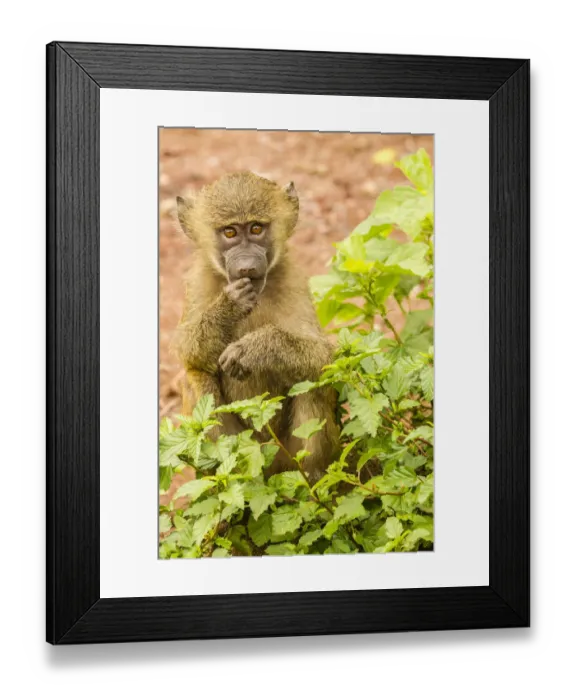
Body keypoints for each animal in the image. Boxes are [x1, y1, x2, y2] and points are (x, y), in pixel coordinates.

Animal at [173, 171, 339, 482]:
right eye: (229, 233)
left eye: (256, 228)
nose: (247, 268)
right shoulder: (198, 282)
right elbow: (186, 350)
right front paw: (231, 305)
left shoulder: (293, 279)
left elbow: (324, 357)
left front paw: (255, 348)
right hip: (245, 447)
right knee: (198, 378)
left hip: (288, 454)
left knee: (311, 381)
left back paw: (315, 481)